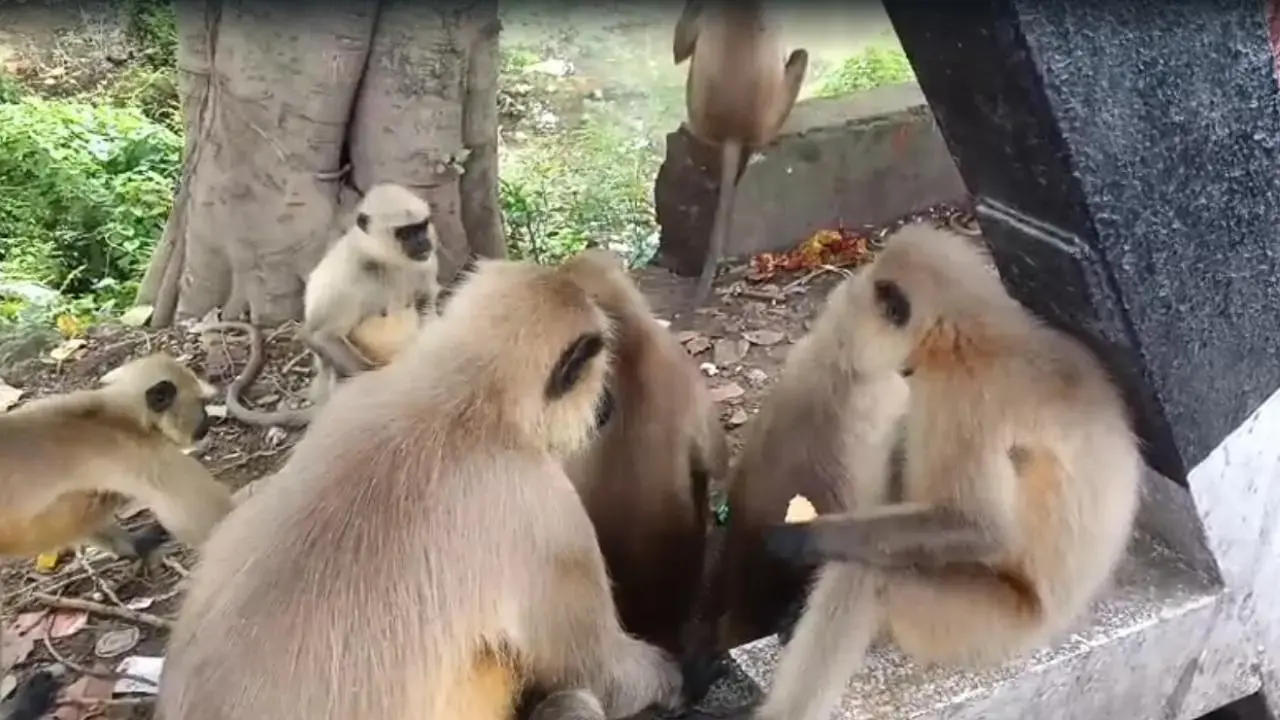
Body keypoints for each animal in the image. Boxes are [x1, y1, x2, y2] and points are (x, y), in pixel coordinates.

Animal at [157, 257, 683, 720]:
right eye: (598, 375)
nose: (606, 403)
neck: (457, 399)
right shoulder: (544, 511)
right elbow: (599, 670)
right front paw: (678, 679)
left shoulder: (354, 397)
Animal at [703, 222, 1142, 720]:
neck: (977, 333)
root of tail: (1049, 627)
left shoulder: (962, 397)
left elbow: (978, 527)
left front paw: (797, 540)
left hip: (977, 626)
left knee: (868, 574)